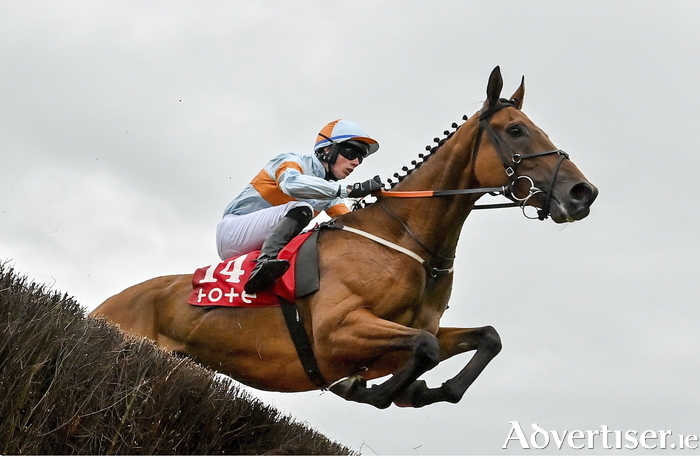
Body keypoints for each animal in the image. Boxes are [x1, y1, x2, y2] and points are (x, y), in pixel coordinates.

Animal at [90, 66, 600, 408]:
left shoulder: (417, 327)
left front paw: (426, 389)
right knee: (296, 206)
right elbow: (425, 348)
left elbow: (484, 339)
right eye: (516, 130)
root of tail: (103, 305)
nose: (583, 193)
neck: (407, 241)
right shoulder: (338, 330)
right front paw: (372, 389)